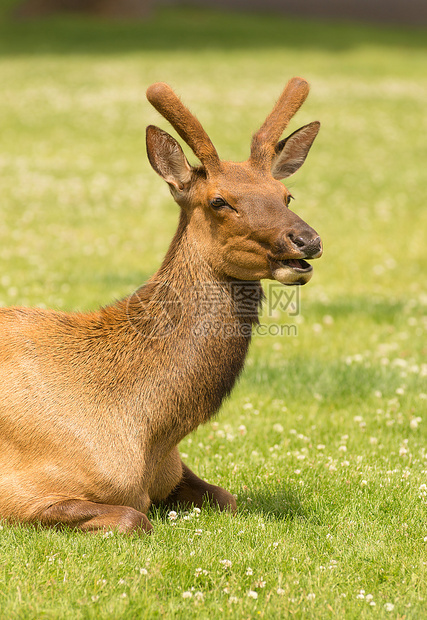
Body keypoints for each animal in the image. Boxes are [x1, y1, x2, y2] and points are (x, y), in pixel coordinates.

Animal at [0, 77, 320, 532]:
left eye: (286, 195)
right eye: (219, 200)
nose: (307, 240)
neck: (150, 434)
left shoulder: (175, 470)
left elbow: (226, 496)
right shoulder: (22, 494)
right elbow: (135, 518)